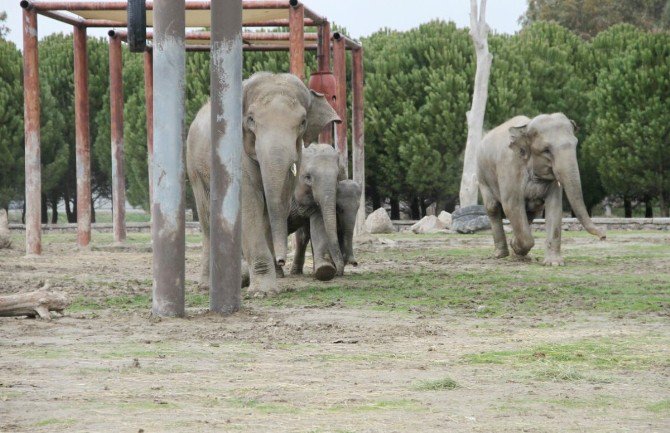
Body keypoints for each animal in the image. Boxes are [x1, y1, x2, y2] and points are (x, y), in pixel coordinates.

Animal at [188, 72, 342, 296]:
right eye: (251, 120)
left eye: (303, 122)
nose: (281, 259)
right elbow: (249, 204)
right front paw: (262, 292)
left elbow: (273, 206)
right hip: (195, 170)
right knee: (207, 219)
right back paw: (207, 287)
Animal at [478, 112, 608, 264]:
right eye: (546, 150)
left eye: (575, 144)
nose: (603, 236)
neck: (526, 127)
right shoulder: (509, 165)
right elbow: (512, 205)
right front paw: (515, 245)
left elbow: (555, 206)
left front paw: (554, 263)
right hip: (482, 175)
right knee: (493, 207)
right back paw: (501, 254)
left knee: (532, 210)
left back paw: (520, 256)